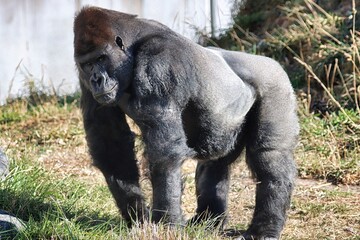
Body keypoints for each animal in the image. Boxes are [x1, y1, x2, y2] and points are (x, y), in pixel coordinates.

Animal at [72, 6, 298, 240]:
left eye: (101, 58)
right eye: (88, 64)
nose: (96, 79)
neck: (132, 49)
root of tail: (270, 61)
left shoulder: (158, 63)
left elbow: (164, 154)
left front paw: (166, 222)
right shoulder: (84, 78)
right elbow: (112, 145)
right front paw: (137, 215)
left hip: (276, 83)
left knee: (269, 156)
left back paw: (264, 228)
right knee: (214, 164)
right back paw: (207, 221)